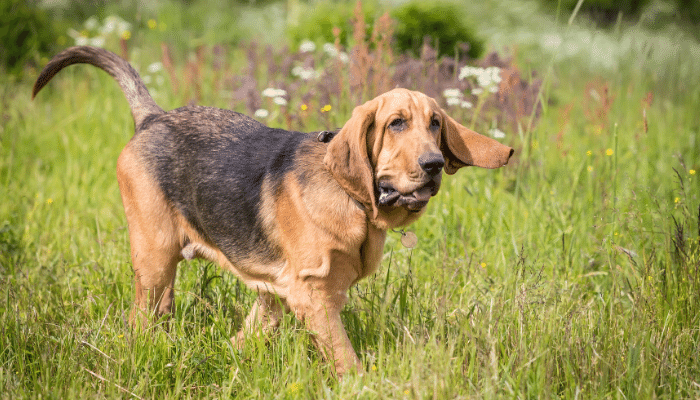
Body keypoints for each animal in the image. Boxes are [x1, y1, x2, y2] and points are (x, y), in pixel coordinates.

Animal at [32, 46, 516, 376]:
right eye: (396, 123)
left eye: (435, 123)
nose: (433, 165)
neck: (353, 200)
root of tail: (152, 118)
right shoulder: (313, 295)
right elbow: (347, 362)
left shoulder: (300, 292)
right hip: (154, 260)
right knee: (143, 321)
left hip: (235, 288)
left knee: (225, 332)